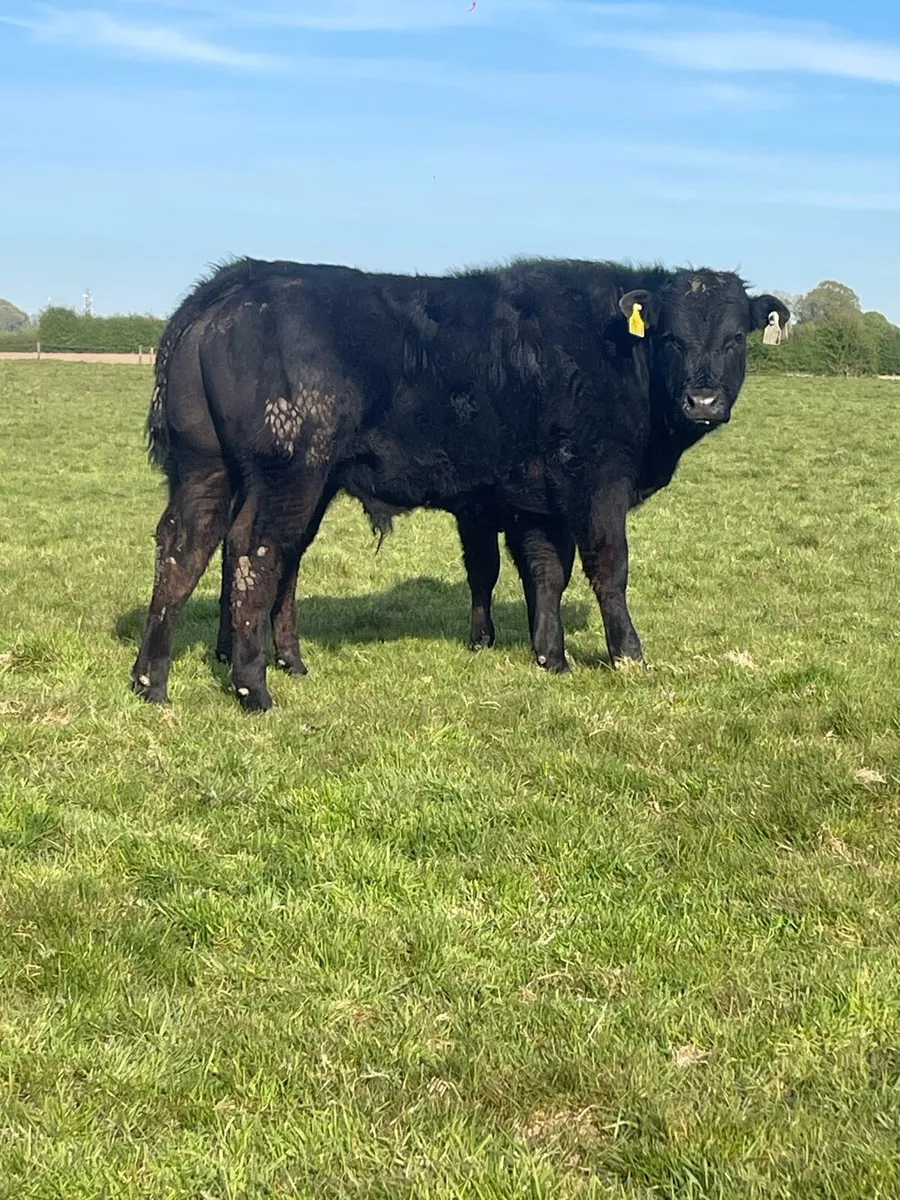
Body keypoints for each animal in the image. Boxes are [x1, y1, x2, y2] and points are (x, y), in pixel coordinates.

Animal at [132, 257, 788, 711]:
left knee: (186, 549)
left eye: (734, 338)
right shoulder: (597, 483)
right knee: (256, 551)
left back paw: (155, 680)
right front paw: (628, 655)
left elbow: (543, 573)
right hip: (288, 472)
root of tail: (238, 281)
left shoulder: (537, 500)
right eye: (671, 337)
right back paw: (253, 688)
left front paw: (550, 656)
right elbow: (608, 566)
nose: (702, 400)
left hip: (209, 469)